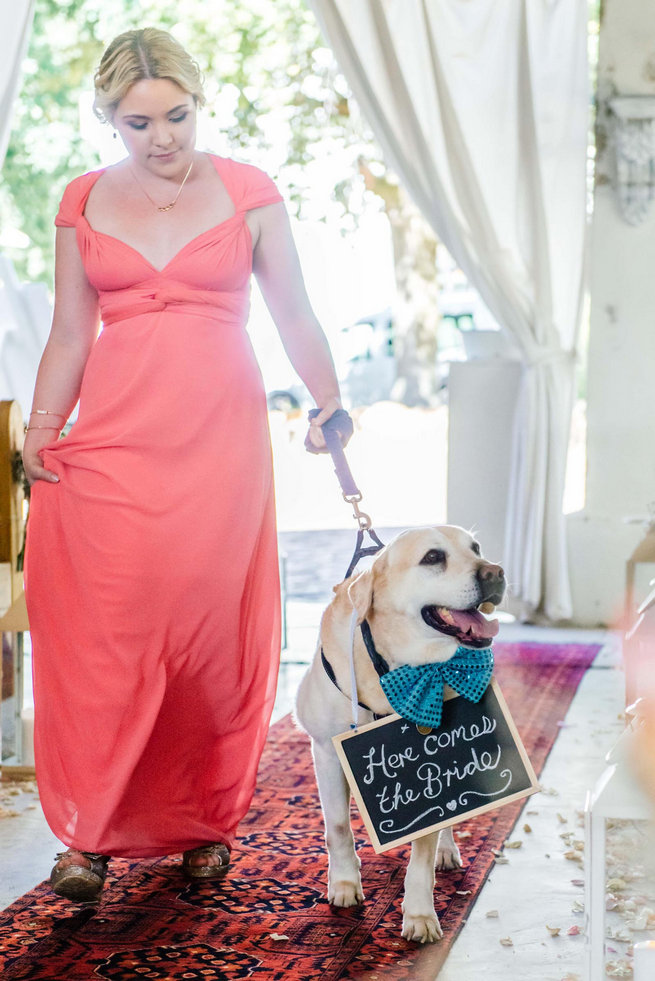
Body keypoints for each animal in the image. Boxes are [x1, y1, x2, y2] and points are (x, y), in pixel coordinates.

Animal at [298, 524, 508, 944]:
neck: (395, 668)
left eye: (476, 548)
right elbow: (338, 827)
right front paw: (343, 883)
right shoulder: (327, 753)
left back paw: (447, 850)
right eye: (433, 557)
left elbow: (422, 853)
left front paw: (420, 913)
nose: (496, 572)